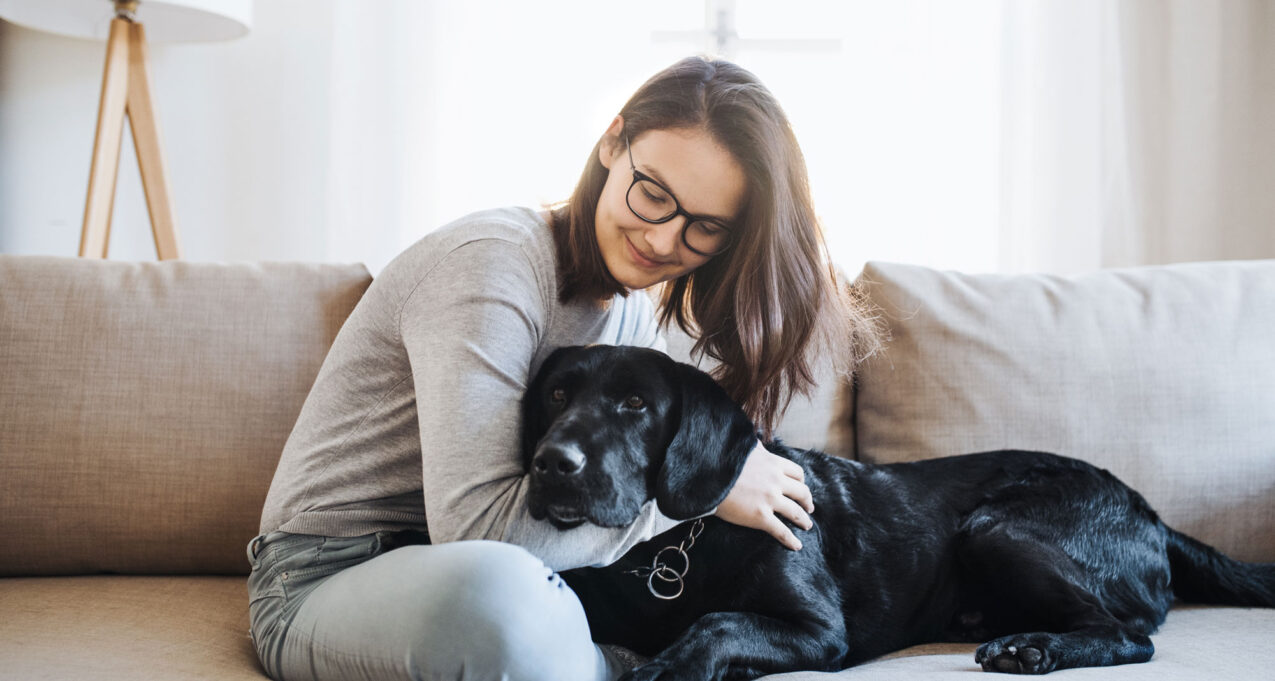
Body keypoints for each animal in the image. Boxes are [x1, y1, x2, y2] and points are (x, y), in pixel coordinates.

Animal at [520, 349, 1275, 678]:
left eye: (635, 405)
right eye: (555, 394)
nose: (552, 463)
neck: (675, 547)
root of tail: (1151, 511)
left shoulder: (821, 631)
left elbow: (718, 620)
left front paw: (668, 667)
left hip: (996, 528)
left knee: (1129, 634)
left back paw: (1034, 647)